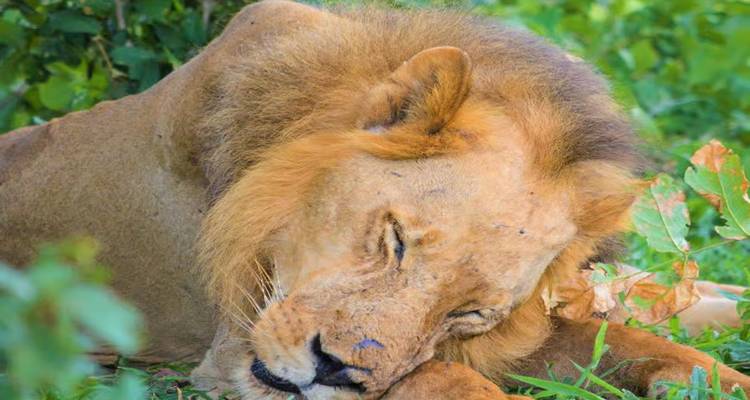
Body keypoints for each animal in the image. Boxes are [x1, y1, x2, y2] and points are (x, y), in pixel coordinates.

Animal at [1, 1, 748, 399]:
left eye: (468, 313)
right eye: (394, 240)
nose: (336, 372)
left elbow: (623, 337)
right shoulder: (231, 353)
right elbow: (448, 381)